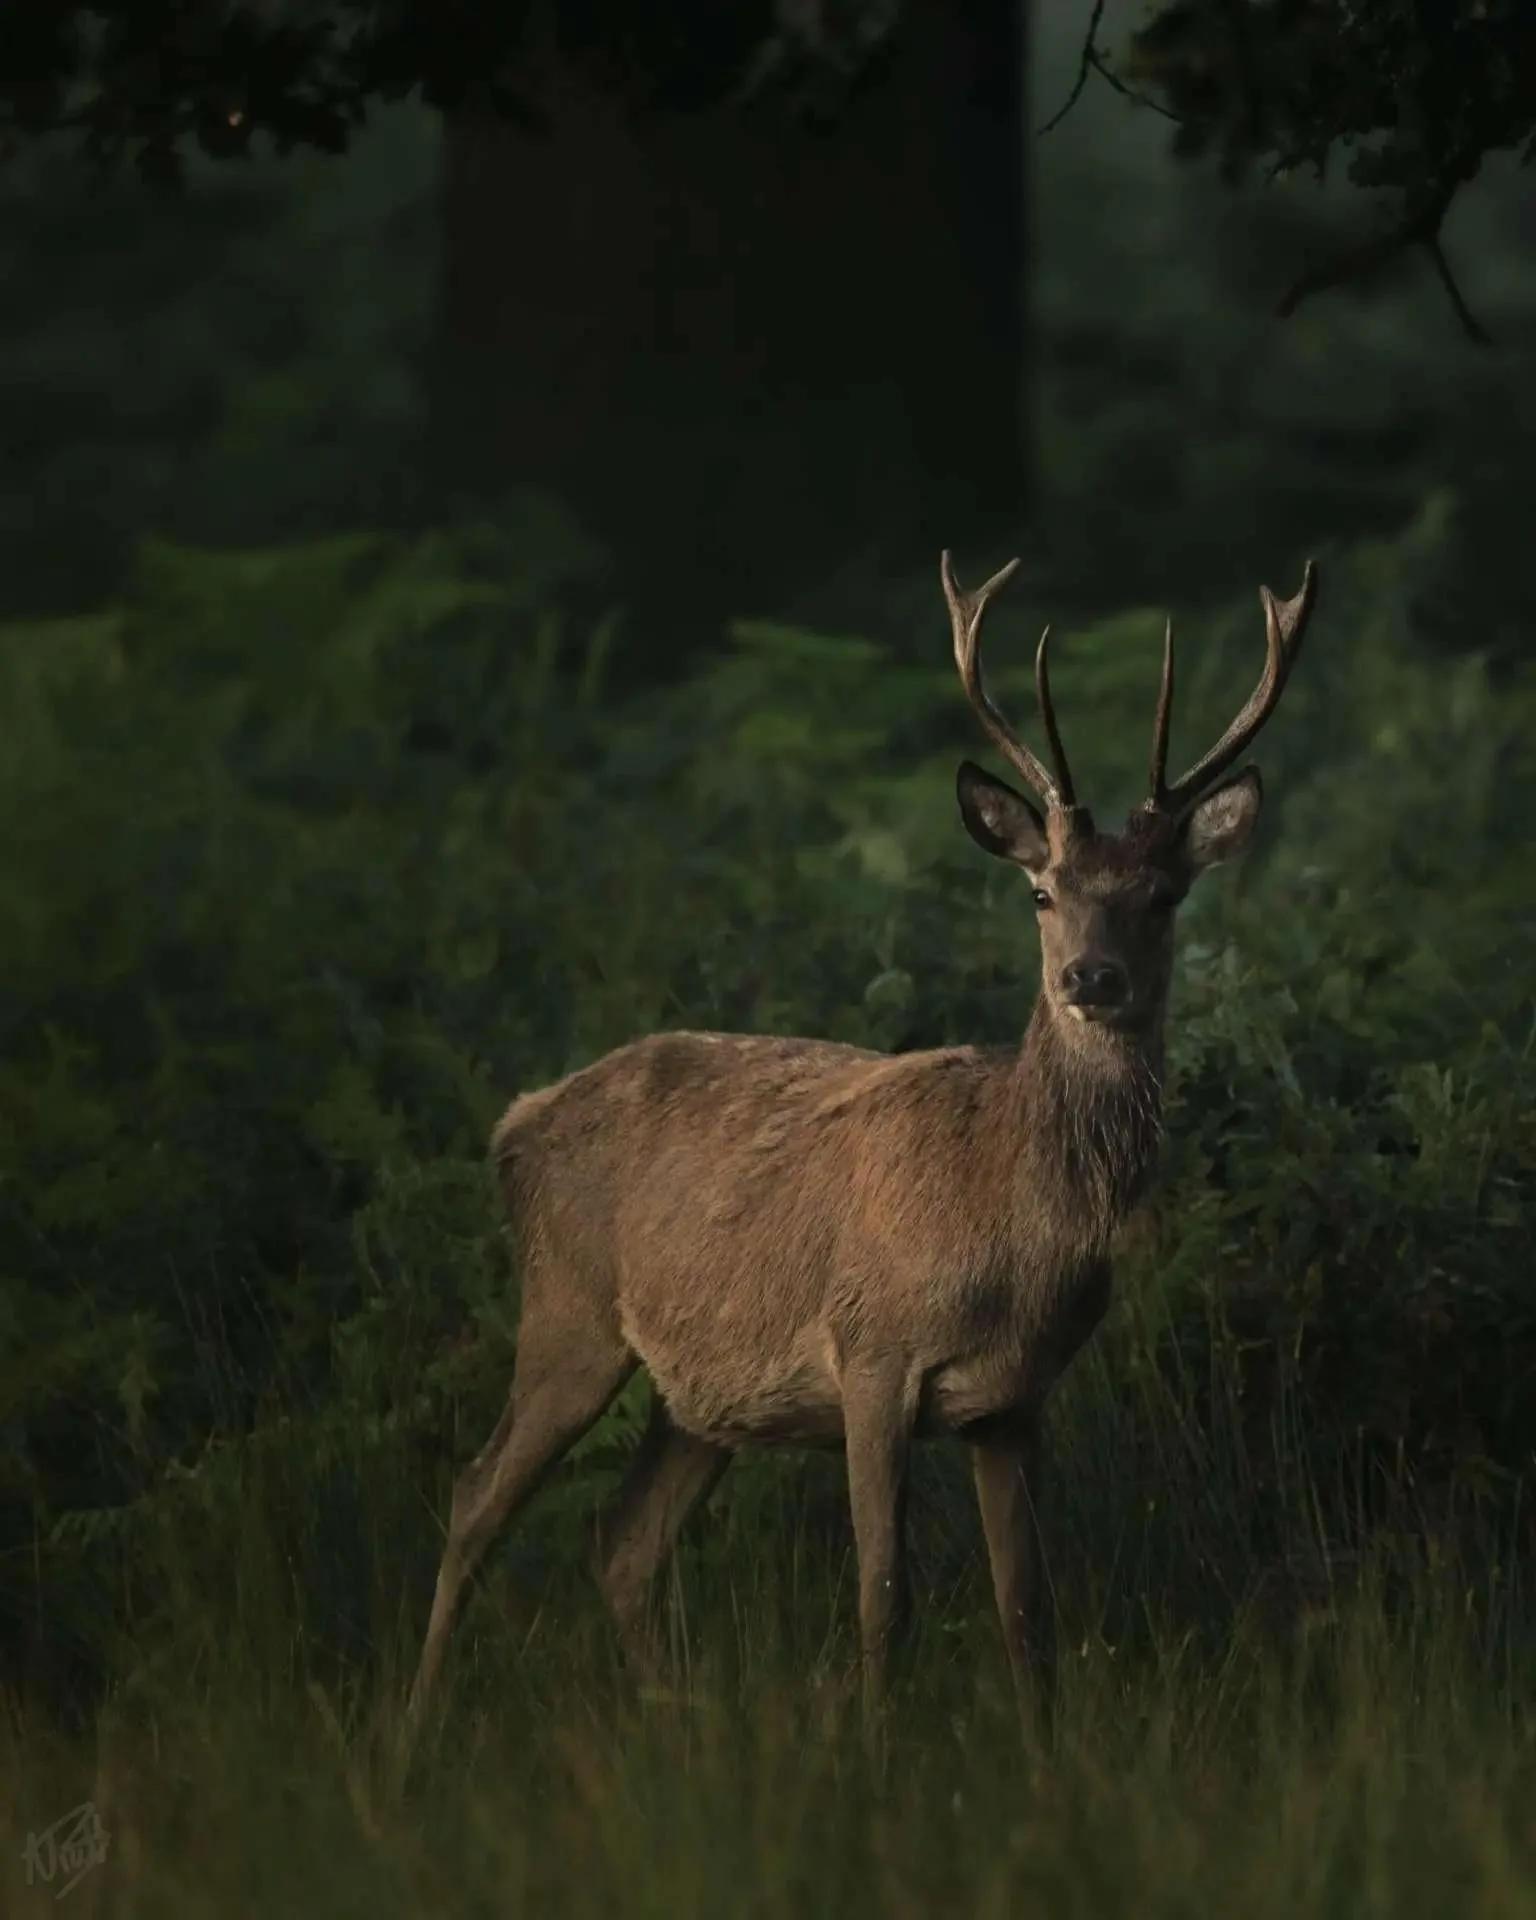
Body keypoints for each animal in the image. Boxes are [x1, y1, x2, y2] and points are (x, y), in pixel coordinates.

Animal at [400, 548, 1318, 1759]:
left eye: (1164, 897)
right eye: (1041, 892)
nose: (1091, 978)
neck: (1010, 1228)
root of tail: (516, 1121)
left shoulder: (1012, 1402)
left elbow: (1027, 1609)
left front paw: (1046, 1766)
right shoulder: (873, 1350)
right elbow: (886, 1592)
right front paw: (876, 1764)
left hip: (702, 1396)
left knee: (622, 1541)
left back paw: (676, 1725)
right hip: (568, 1310)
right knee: (473, 1499)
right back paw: (407, 1731)